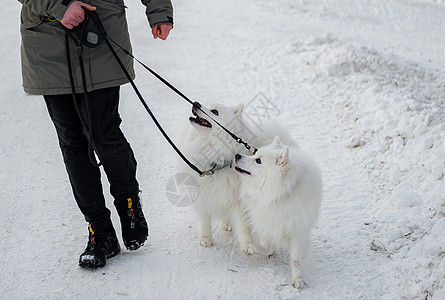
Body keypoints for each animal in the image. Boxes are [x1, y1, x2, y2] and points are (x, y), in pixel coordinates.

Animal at [234, 136, 320, 288]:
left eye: (258, 160)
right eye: (255, 154)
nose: (237, 155)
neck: (279, 194)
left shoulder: (298, 230)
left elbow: (296, 259)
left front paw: (298, 280)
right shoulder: (265, 217)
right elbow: (264, 241)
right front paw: (267, 249)